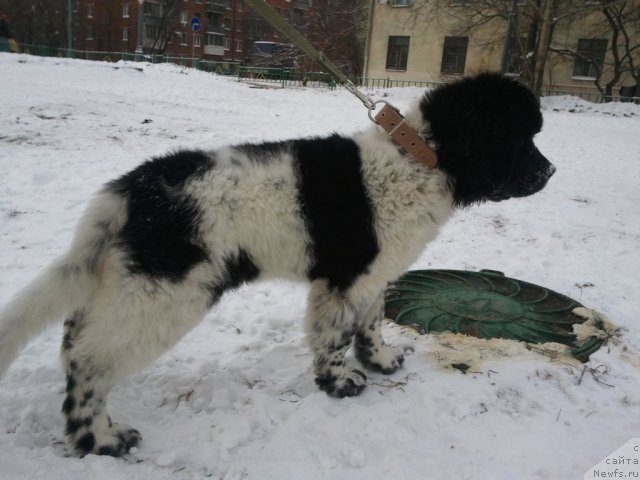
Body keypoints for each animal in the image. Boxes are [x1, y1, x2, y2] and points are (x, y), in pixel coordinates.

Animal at [0, 73, 552, 456]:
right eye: (520, 139)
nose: (550, 171)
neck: (418, 159)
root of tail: (130, 192)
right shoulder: (346, 279)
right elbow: (335, 335)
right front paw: (341, 384)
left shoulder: (374, 274)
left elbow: (370, 322)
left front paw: (379, 360)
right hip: (164, 293)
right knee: (89, 362)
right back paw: (99, 439)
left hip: (131, 283)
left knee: (75, 338)